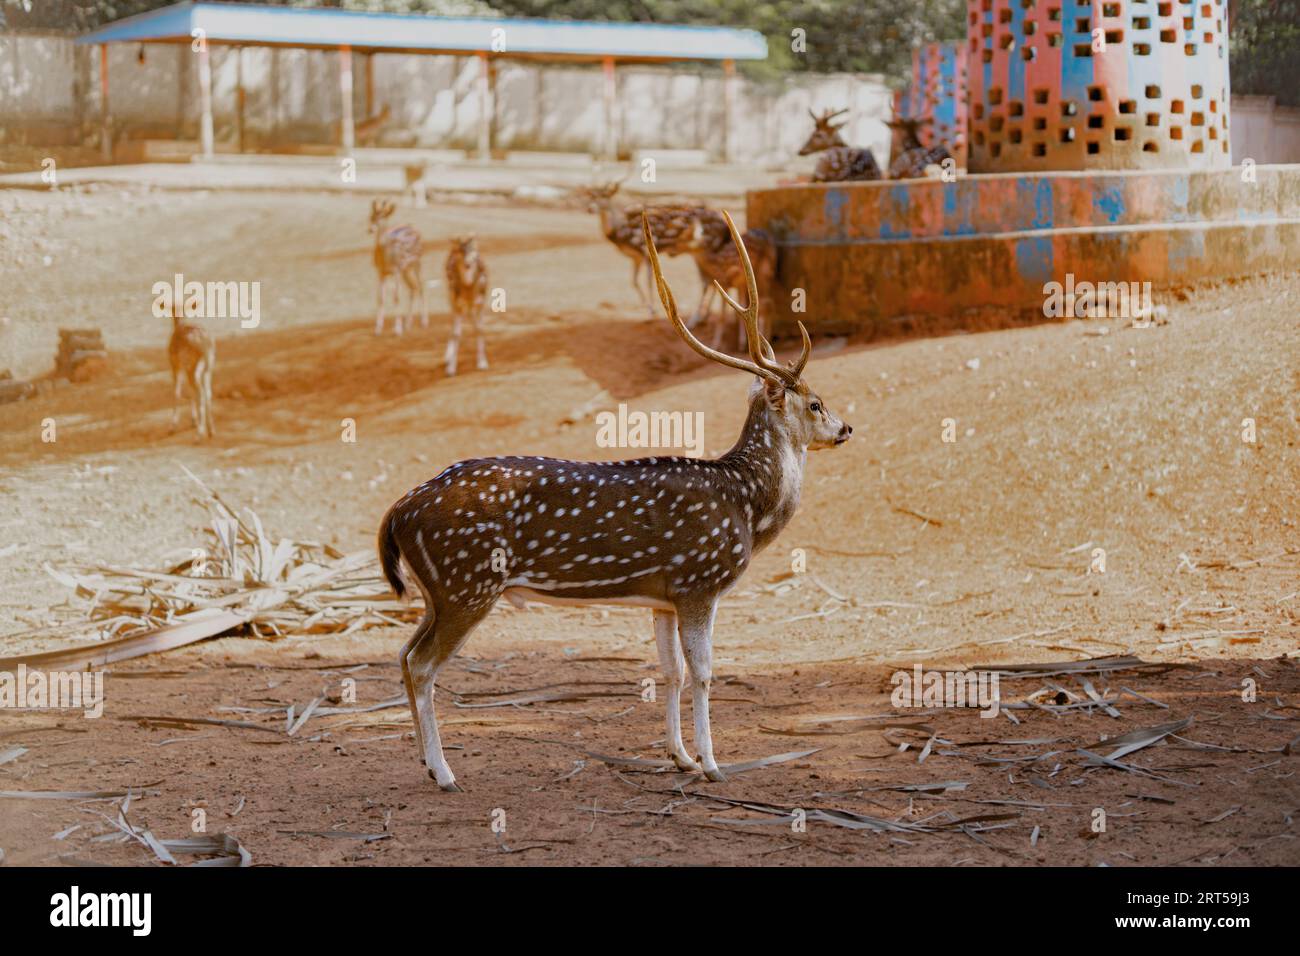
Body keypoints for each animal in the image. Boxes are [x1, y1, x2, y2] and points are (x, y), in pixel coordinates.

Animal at [167, 304, 215, 440]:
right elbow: (189, 392)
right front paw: (193, 421)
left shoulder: (176, 366)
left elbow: (177, 392)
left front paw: (172, 427)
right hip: (207, 369)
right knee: (208, 393)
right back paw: (211, 430)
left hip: (194, 370)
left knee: (201, 393)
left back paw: (200, 434)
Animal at [369, 198, 427, 336]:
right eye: (371, 217)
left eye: (383, 217)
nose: (370, 229)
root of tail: (415, 229)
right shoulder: (381, 272)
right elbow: (380, 298)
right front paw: (377, 329)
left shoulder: (396, 270)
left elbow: (396, 297)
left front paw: (397, 330)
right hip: (406, 269)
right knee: (413, 287)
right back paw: (408, 323)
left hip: (417, 262)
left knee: (421, 287)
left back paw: (424, 321)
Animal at [444, 234, 489, 377]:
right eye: (461, 251)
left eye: (472, 252)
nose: (467, 263)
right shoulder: (458, 305)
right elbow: (456, 334)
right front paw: (451, 369)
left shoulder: (480, 304)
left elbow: (480, 329)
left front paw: (483, 363)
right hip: (451, 301)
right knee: (453, 328)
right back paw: (447, 358)